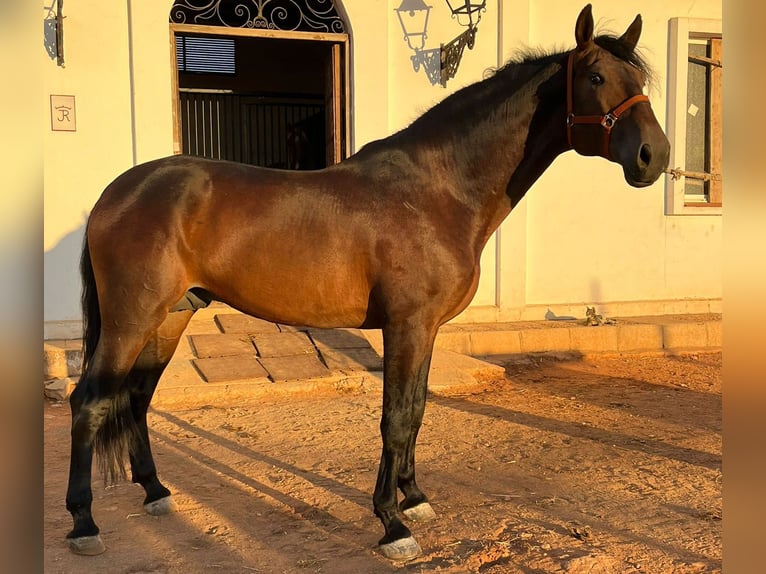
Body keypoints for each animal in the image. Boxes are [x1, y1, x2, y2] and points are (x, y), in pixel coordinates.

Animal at [67, 4, 672, 564]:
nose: (655, 156)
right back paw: (84, 525)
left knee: (136, 399)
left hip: (172, 316)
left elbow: (419, 410)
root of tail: (115, 193)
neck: (438, 191)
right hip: (130, 320)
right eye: (595, 77)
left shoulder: (426, 329)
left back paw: (156, 492)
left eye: (639, 80)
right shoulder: (405, 326)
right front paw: (392, 524)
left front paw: (414, 498)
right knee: (89, 403)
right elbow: (396, 418)